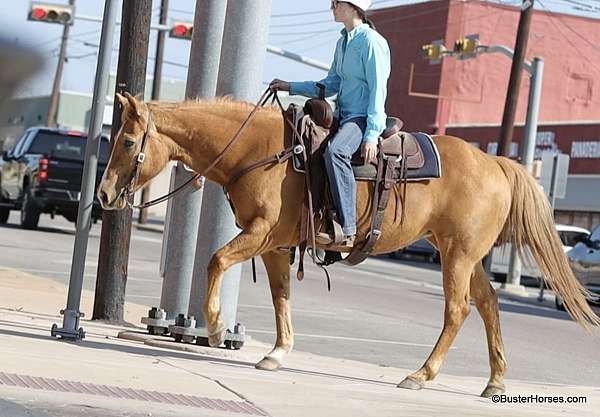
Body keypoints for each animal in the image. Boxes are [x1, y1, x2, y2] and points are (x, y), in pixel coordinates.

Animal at [96, 92, 596, 398]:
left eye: (127, 141)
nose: (103, 195)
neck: (260, 150)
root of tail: (496, 163)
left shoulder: (260, 234)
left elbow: (216, 261)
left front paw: (217, 329)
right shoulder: (276, 246)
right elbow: (281, 297)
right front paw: (277, 353)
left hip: (456, 256)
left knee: (458, 310)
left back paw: (420, 375)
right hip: (466, 255)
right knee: (490, 303)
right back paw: (494, 381)